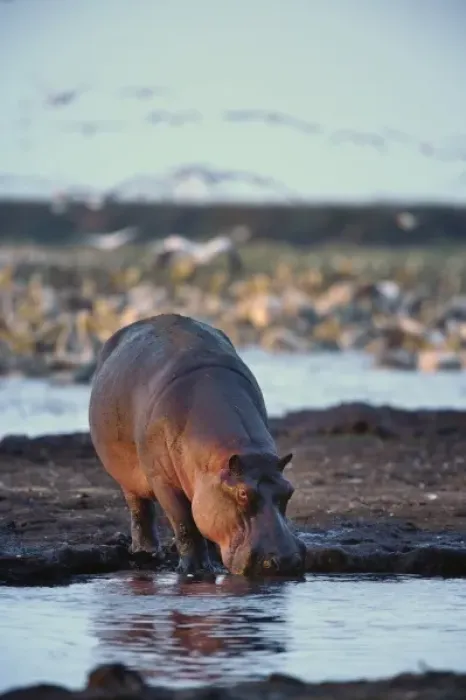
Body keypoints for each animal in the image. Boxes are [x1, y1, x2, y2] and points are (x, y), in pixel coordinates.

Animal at [88, 313, 306, 576]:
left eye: (289, 490)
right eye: (243, 493)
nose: (286, 560)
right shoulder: (162, 480)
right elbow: (184, 522)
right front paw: (196, 570)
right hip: (127, 478)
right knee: (140, 509)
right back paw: (146, 553)